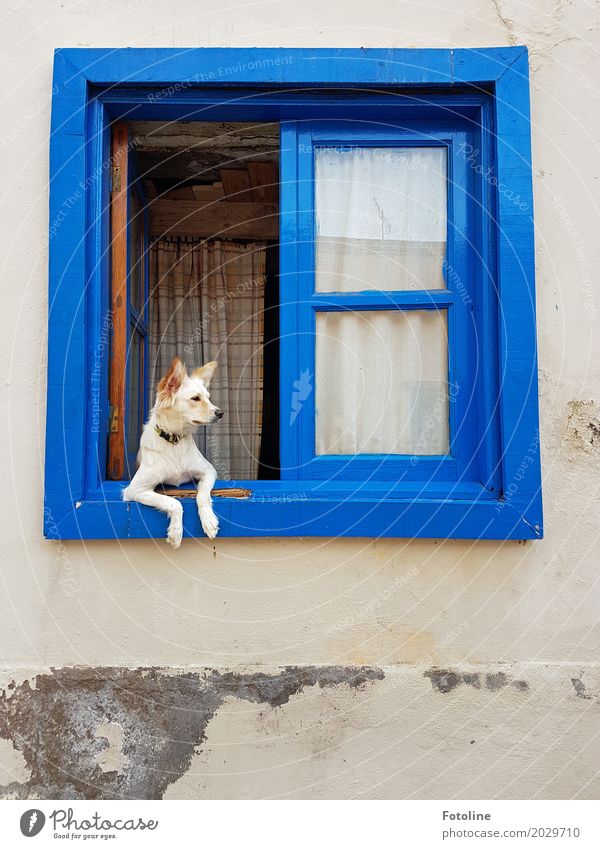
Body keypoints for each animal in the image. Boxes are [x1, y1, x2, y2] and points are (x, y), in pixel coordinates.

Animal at [122, 356, 223, 544]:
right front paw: (176, 531)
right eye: (195, 398)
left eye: (208, 398)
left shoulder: (209, 471)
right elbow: (174, 503)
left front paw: (208, 520)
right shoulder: (135, 489)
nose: (221, 413)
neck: (174, 440)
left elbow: (202, 495)